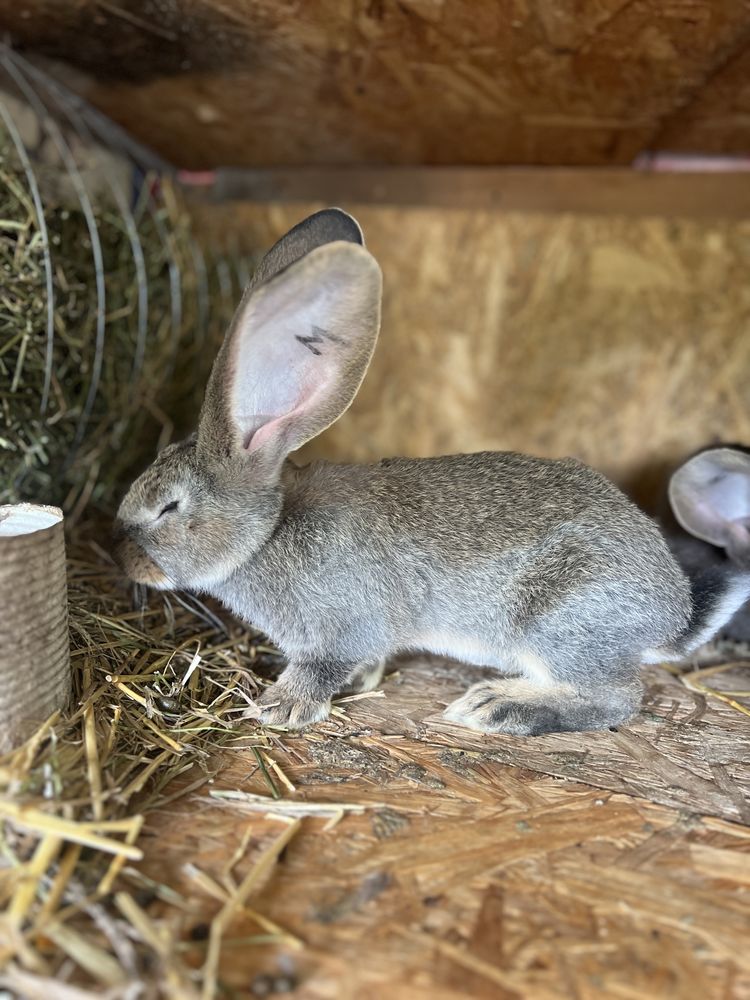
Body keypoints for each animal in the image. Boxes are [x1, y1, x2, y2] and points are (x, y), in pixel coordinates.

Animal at [113, 209, 750, 736]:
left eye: (169, 507)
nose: (125, 557)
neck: (266, 534)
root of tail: (672, 613)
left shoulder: (341, 628)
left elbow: (321, 667)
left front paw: (280, 708)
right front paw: (356, 684)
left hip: (562, 624)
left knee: (617, 698)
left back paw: (500, 706)